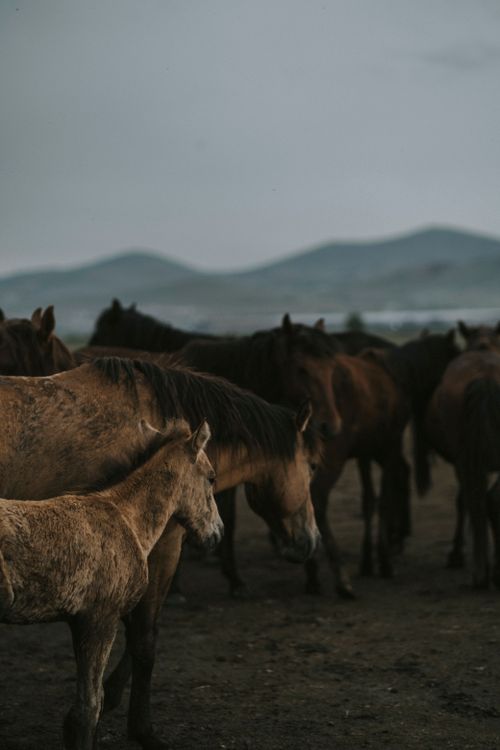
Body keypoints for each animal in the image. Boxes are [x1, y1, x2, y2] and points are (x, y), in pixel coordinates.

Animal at [0, 417, 222, 750]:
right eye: (211, 478)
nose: (216, 533)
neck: (125, 518)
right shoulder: (100, 620)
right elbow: (89, 709)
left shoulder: (79, 622)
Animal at [304, 330, 459, 595]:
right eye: (454, 356)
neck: (397, 375)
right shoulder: (390, 447)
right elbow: (385, 499)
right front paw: (384, 561)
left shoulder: (365, 454)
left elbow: (369, 500)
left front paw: (368, 561)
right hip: (333, 458)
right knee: (318, 496)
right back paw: (339, 577)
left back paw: (312, 572)